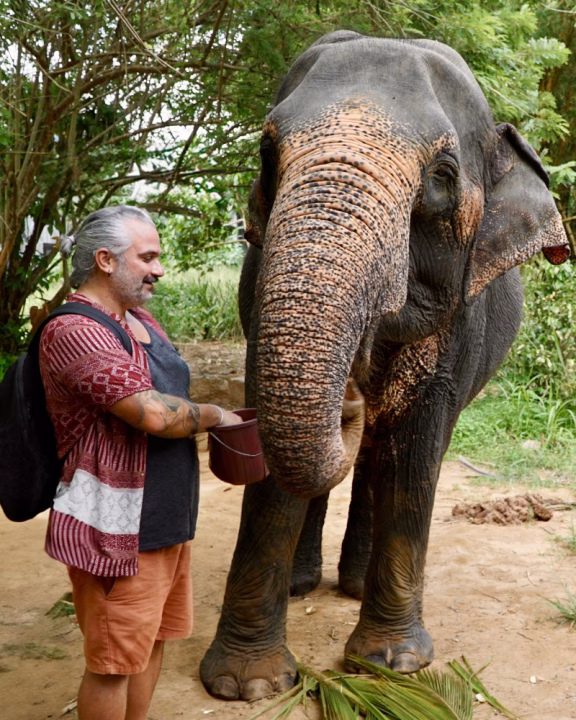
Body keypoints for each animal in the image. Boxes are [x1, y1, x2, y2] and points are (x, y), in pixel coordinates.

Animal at [200, 31, 569, 700]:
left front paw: (390, 664)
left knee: (389, 452)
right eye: (267, 153)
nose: (352, 391)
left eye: (442, 176)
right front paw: (249, 685)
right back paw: (306, 584)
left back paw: (351, 585)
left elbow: (417, 443)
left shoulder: (460, 312)